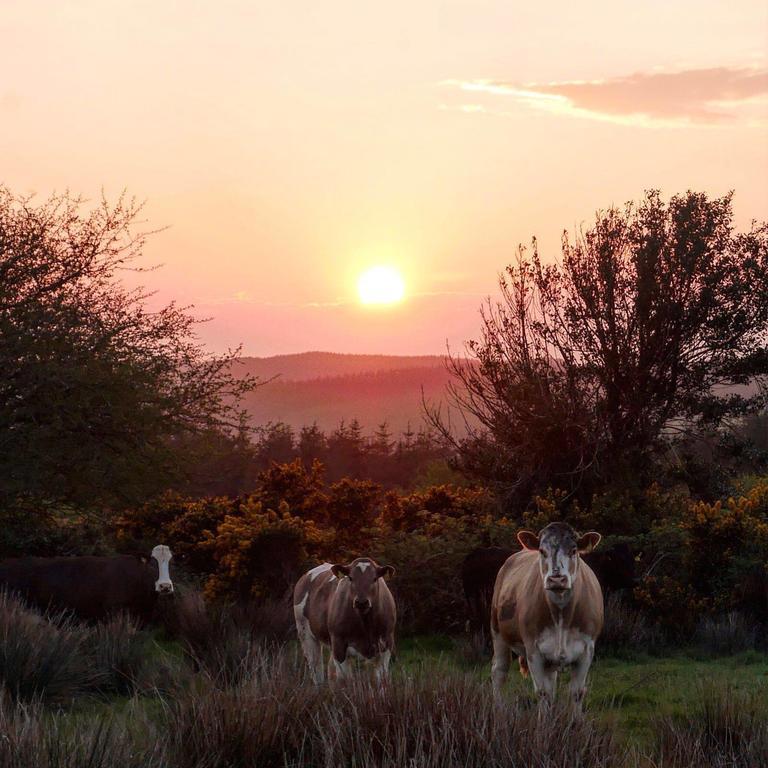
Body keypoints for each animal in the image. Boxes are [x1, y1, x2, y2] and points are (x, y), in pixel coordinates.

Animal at [488, 520, 604, 712]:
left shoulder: (587, 650)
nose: (557, 579)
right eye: (542, 551)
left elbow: (576, 693)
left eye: (573, 550)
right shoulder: (534, 651)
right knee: (499, 671)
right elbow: (544, 693)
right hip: (498, 632)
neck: (561, 616)